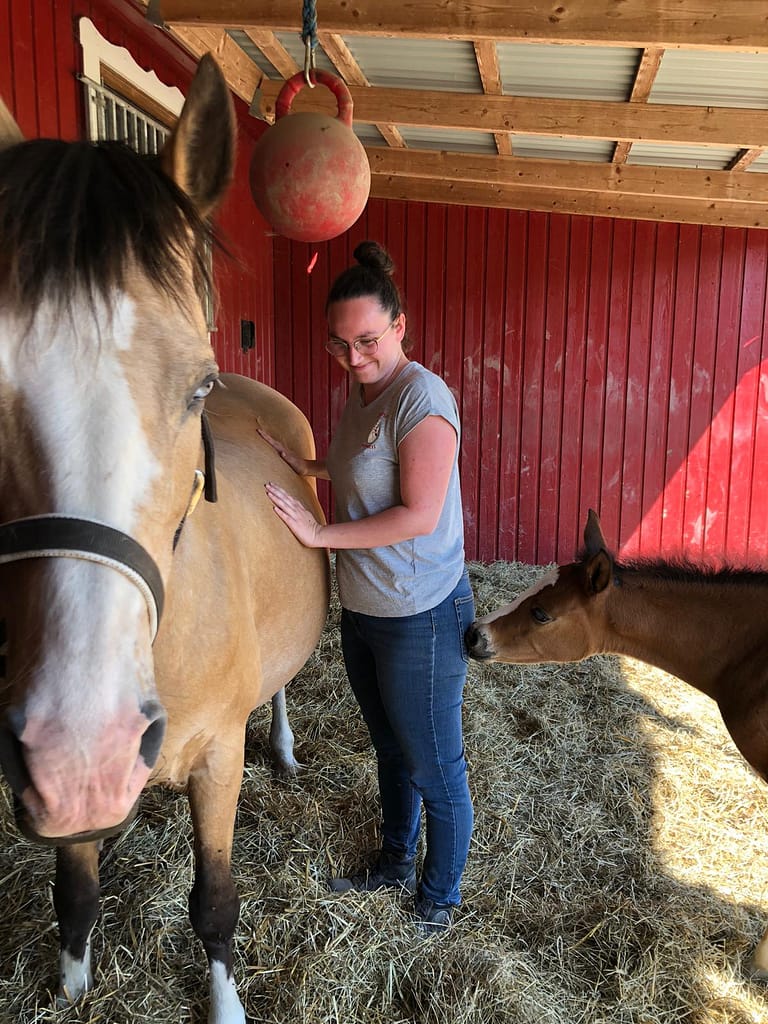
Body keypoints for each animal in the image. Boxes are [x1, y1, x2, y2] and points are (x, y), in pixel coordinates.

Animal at [0, 55, 329, 1023]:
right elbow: (75, 891)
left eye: (197, 388)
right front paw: (72, 987)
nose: (87, 745)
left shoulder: (217, 763)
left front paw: (223, 1005)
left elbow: (214, 900)